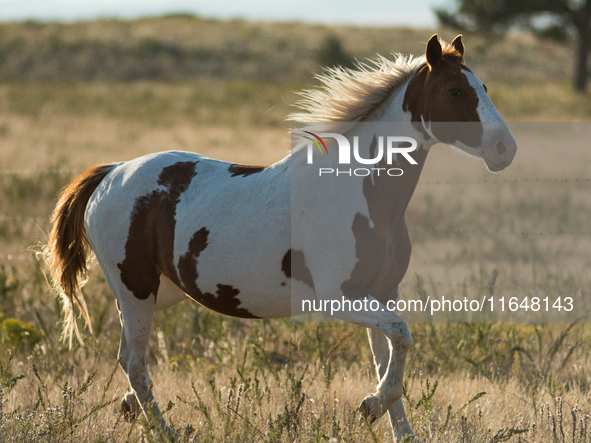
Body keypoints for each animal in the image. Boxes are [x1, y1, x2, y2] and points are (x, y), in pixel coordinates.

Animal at [45, 36, 520, 442]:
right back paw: (168, 430)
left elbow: (390, 356)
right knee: (135, 362)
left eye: (484, 86)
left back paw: (132, 410)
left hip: (159, 293)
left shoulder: (383, 293)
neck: (360, 190)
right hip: (135, 290)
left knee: (128, 357)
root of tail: (112, 172)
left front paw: (396, 427)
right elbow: (401, 339)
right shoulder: (337, 298)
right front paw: (370, 406)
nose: (505, 149)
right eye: (456, 91)